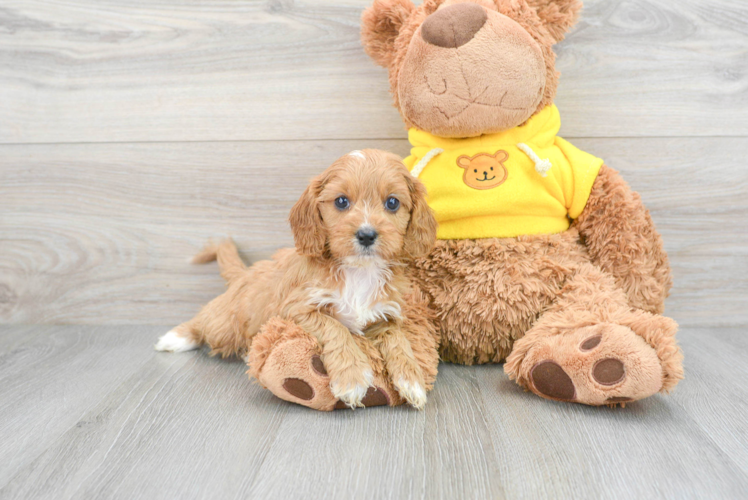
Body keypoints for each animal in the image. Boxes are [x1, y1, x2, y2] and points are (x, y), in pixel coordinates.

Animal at [156, 150, 438, 408]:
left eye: (392, 203)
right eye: (341, 202)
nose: (366, 235)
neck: (358, 271)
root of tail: (246, 272)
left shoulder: (384, 314)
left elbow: (397, 338)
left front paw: (412, 379)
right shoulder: (297, 308)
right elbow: (335, 328)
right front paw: (353, 378)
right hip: (225, 325)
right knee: (204, 321)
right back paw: (176, 338)